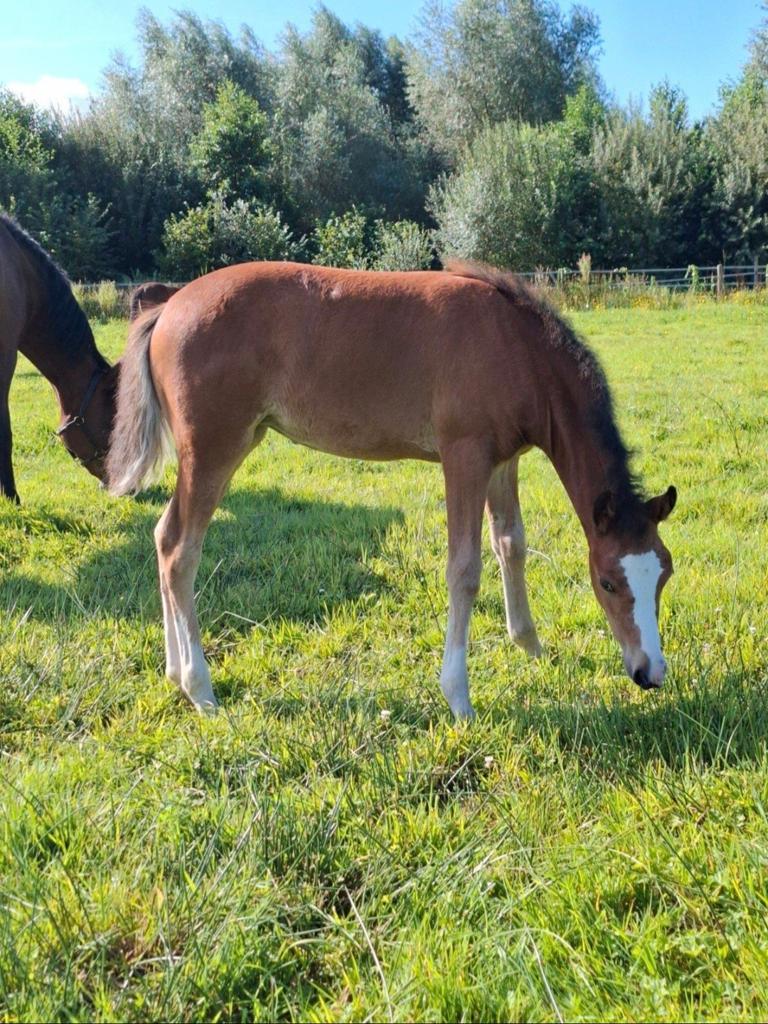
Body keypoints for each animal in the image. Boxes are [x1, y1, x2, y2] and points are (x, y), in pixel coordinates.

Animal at [105, 260, 677, 718]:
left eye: (664, 575)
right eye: (607, 582)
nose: (650, 672)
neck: (516, 345)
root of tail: (169, 307)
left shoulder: (502, 460)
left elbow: (511, 544)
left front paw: (530, 647)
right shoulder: (464, 456)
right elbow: (464, 569)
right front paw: (458, 697)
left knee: (162, 536)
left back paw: (173, 673)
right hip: (214, 448)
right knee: (181, 551)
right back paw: (200, 689)